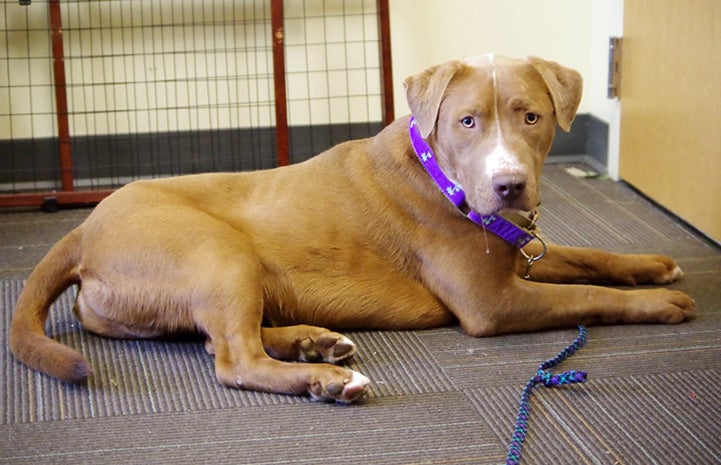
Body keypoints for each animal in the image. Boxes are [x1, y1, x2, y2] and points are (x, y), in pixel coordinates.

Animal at [8, 55, 696, 402]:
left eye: (531, 117)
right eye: (468, 122)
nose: (508, 186)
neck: (441, 175)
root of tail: (81, 230)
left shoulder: (518, 253)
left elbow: (585, 256)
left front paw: (651, 267)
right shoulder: (491, 301)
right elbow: (584, 294)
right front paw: (660, 304)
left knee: (219, 340)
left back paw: (316, 343)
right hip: (218, 252)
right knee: (232, 358)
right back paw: (327, 378)